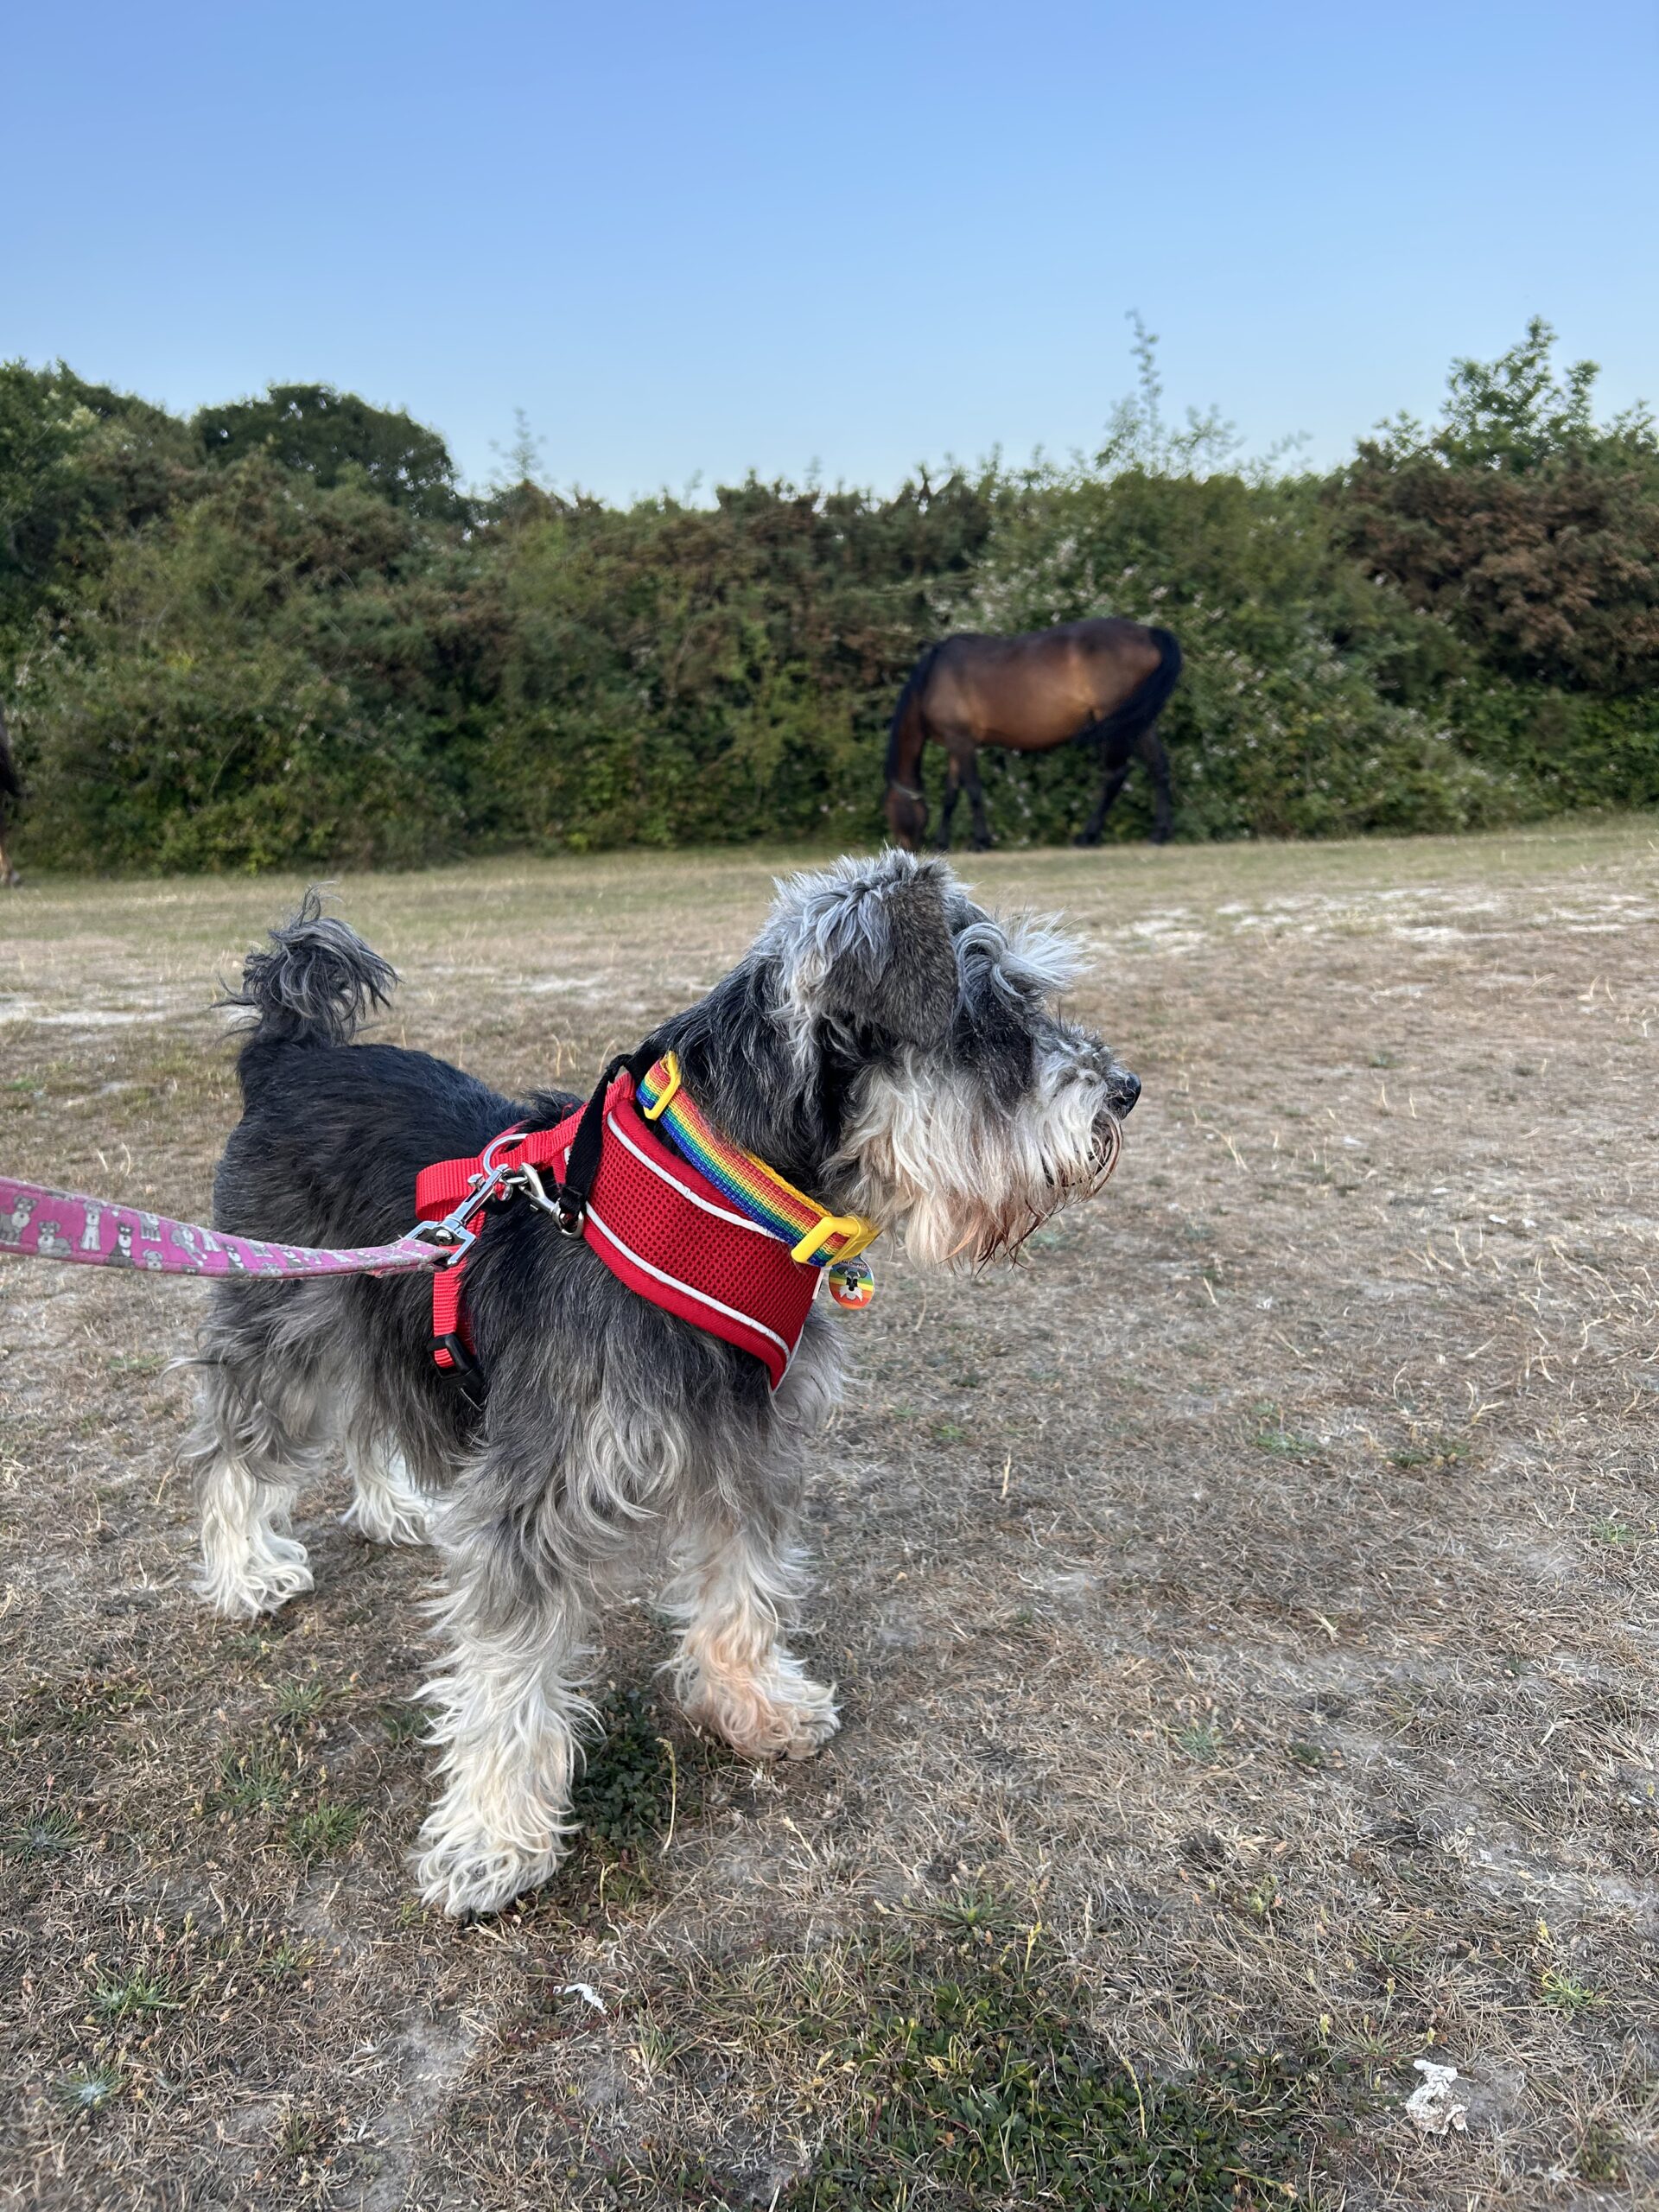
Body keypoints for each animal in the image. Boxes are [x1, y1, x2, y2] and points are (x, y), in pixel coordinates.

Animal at [884, 618, 1182, 852]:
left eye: (892, 815)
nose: (906, 850)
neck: (932, 679)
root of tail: (1146, 632)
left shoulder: (962, 742)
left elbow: (973, 791)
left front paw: (980, 841)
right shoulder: (955, 745)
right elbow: (951, 795)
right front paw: (943, 842)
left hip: (1115, 723)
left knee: (1114, 776)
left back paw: (1088, 836)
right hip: (1139, 721)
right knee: (1159, 767)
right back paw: (1159, 833)